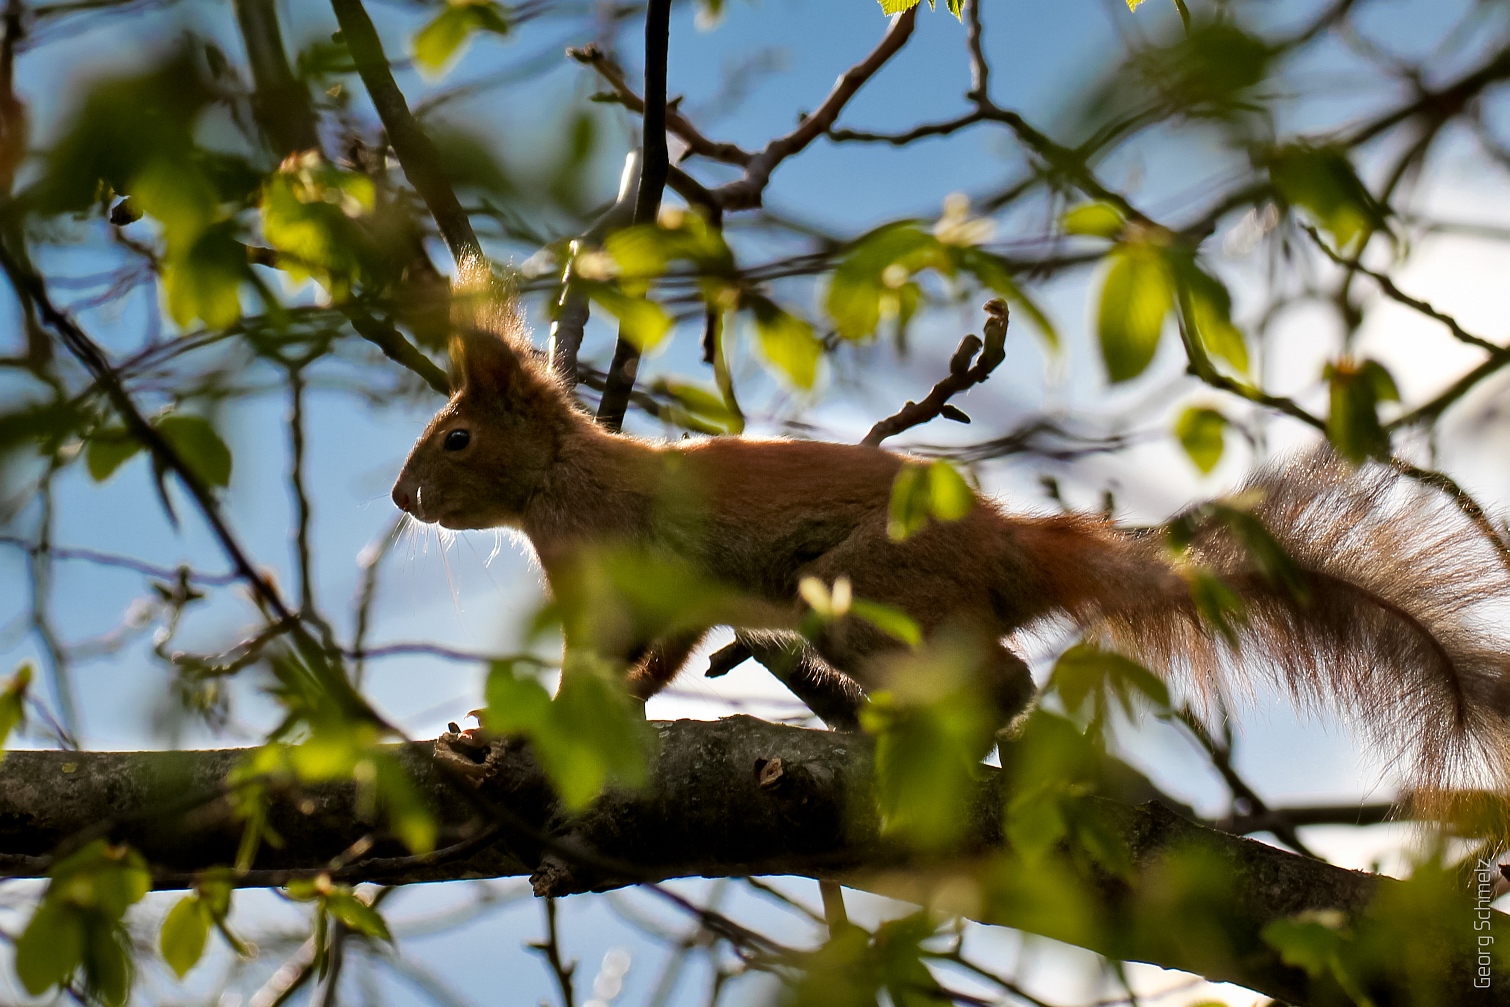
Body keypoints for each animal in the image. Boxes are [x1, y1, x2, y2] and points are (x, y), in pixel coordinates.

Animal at [392, 267, 1510, 821]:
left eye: (456, 437)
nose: (405, 496)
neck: (558, 484)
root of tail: (1010, 540)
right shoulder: (647, 598)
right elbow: (638, 658)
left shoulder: (630, 565)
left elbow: (615, 660)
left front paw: (542, 724)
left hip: (857, 588)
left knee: (1005, 674)